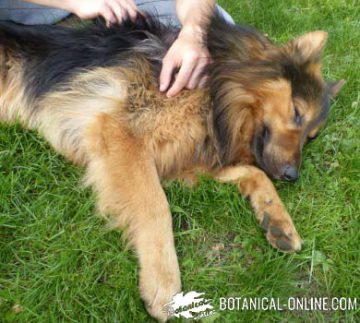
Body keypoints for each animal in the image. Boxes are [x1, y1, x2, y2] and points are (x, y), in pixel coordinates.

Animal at [0, 12, 344, 322]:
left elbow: (255, 173)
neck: (218, 90)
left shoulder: (182, 159)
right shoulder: (121, 133)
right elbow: (156, 208)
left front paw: (278, 220)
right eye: (297, 113)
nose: (292, 177)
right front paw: (164, 286)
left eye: (311, 136)